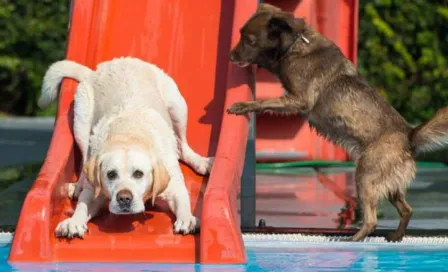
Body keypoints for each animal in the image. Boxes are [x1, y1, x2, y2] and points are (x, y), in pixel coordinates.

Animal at [38, 57, 214, 238]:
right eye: (111, 174)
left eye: (138, 174)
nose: (124, 198)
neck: (129, 133)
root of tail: (97, 69)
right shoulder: (93, 191)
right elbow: (83, 204)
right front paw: (74, 221)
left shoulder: (174, 185)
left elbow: (183, 201)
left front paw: (187, 219)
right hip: (81, 123)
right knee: (85, 158)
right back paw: (79, 184)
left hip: (178, 107)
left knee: (183, 147)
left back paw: (201, 162)